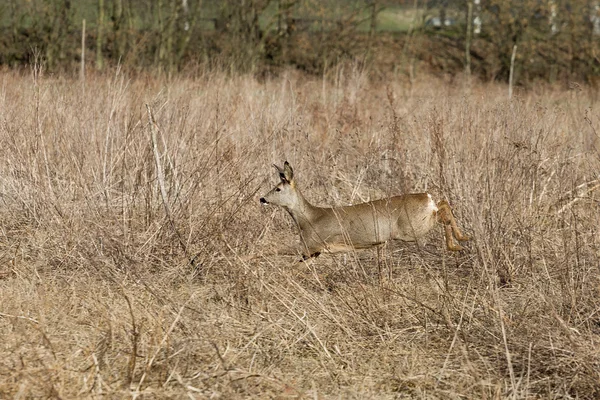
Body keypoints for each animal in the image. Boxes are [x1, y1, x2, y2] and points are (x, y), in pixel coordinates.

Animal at [258, 162, 468, 260]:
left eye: (277, 188)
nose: (262, 199)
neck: (307, 219)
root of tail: (426, 197)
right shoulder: (314, 252)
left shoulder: (311, 247)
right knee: (444, 203)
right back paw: (462, 240)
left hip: (412, 228)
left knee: (442, 212)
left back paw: (457, 243)